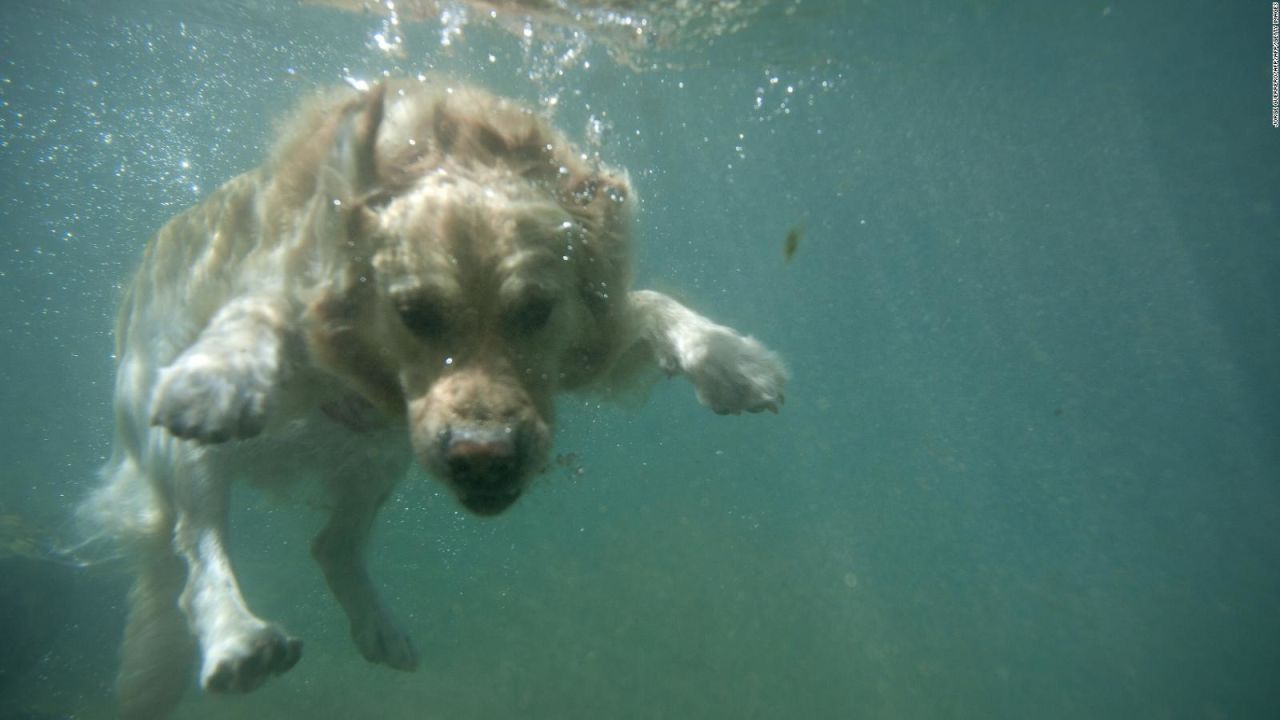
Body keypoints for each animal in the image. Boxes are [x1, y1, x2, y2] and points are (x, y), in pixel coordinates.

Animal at [82, 75, 788, 712]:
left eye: (536, 310)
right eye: (414, 314)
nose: (485, 455)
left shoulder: (592, 337)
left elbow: (647, 304)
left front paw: (732, 359)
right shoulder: (302, 288)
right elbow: (261, 311)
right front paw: (220, 375)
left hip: (377, 459)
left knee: (332, 544)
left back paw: (379, 629)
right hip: (183, 456)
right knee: (195, 552)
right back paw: (237, 639)